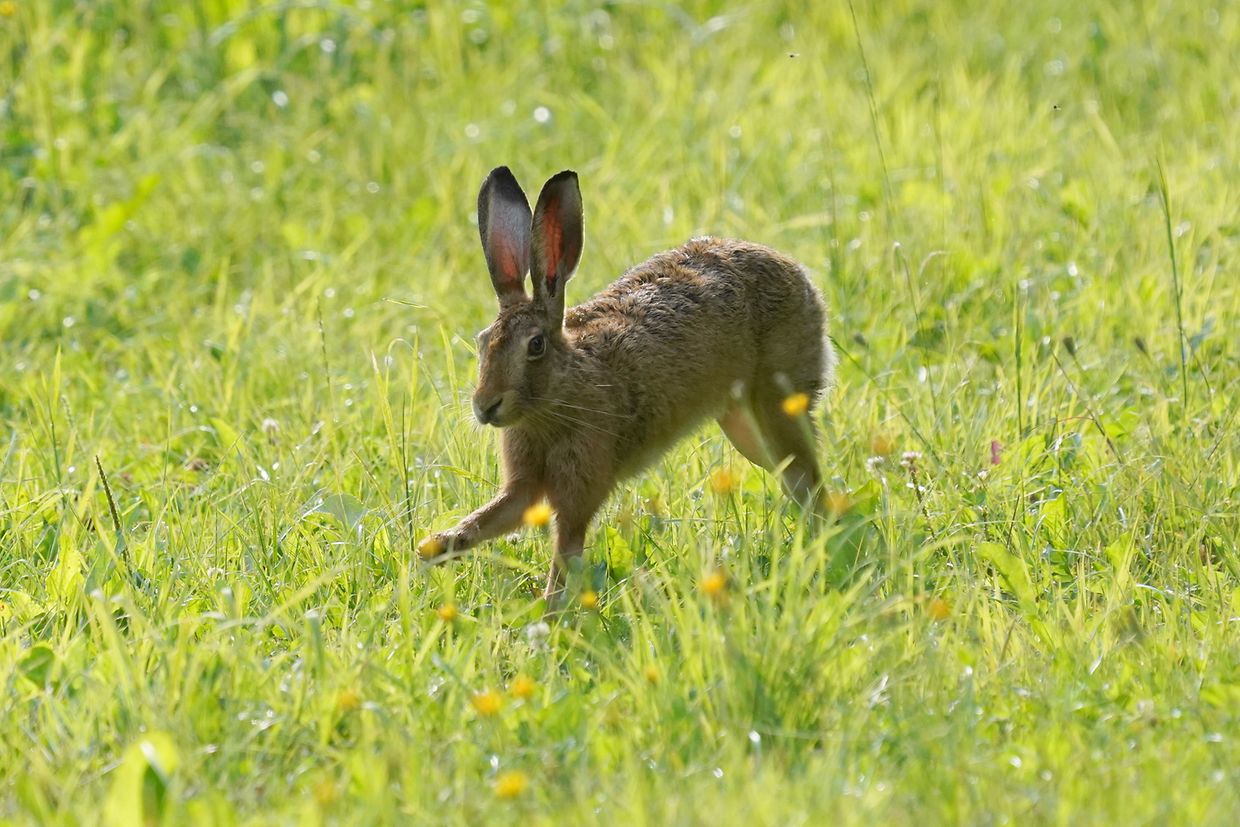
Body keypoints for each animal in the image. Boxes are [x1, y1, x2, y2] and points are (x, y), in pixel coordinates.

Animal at [419, 166, 834, 600]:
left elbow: (564, 560)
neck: (562, 393)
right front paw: (434, 547)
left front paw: (552, 614)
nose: (485, 406)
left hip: (777, 407)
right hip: (743, 426)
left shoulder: (581, 487)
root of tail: (797, 273)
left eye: (535, 346)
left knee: (807, 479)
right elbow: (497, 516)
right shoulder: (525, 486)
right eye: (483, 341)